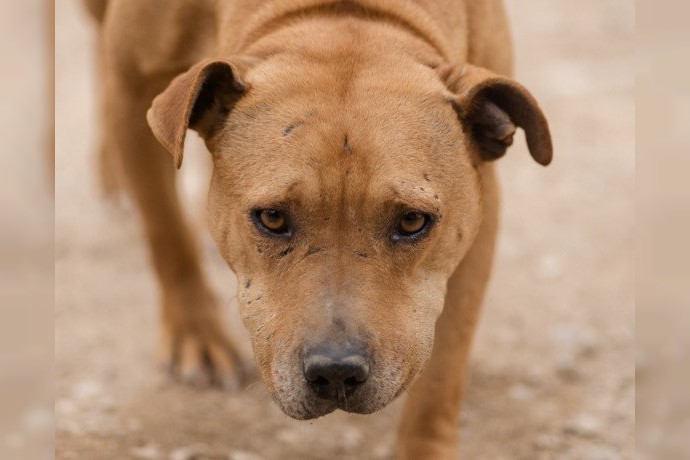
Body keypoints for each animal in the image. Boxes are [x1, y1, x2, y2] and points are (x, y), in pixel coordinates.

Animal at [84, 0, 548, 456]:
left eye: (412, 220)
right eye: (272, 217)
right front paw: (196, 335)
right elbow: (167, 233)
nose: (337, 372)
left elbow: (442, 374)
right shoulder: (133, 87)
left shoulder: (479, 210)